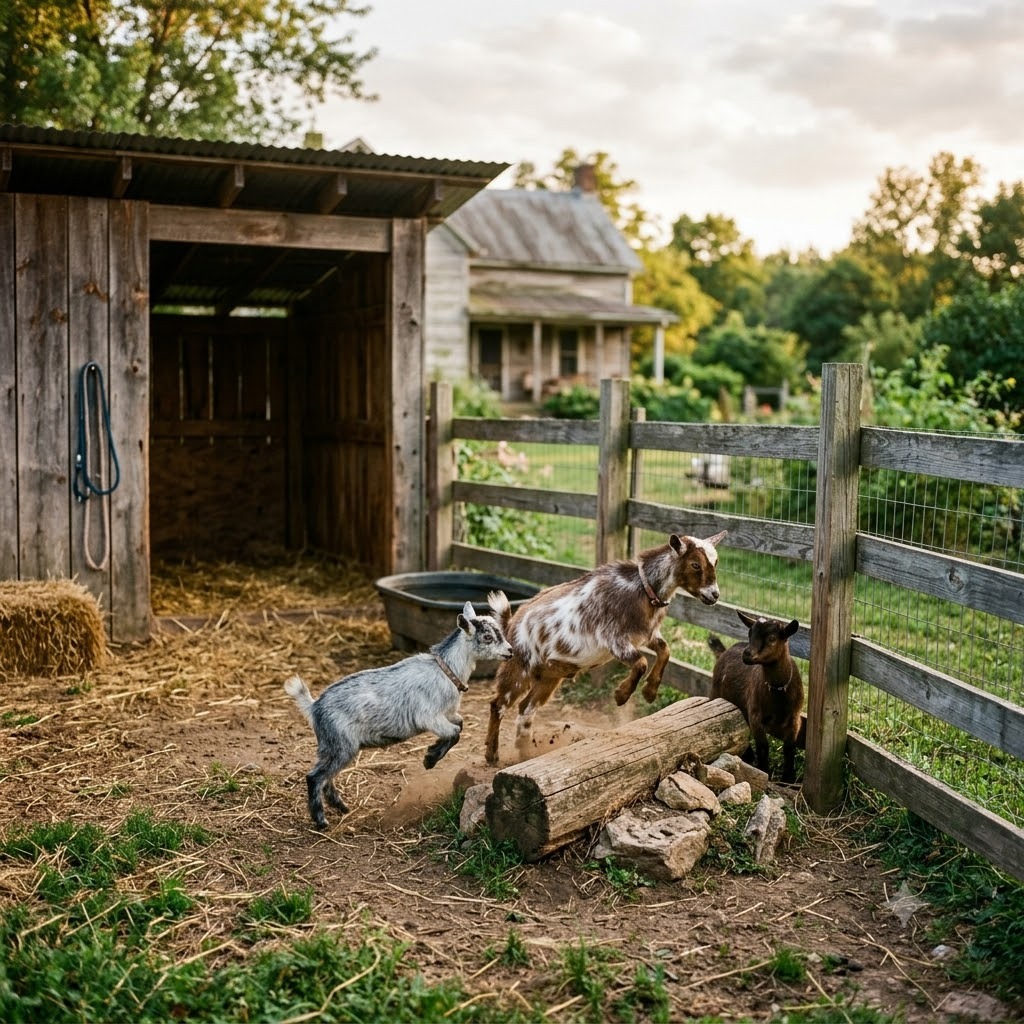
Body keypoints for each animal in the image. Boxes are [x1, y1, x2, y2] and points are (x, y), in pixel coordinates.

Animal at [285, 598, 513, 829]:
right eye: (487, 637)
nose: (510, 651)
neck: (446, 670)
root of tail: (314, 707)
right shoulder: (429, 717)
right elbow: (454, 732)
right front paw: (429, 759)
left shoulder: (448, 714)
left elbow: (461, 723)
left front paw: (431, 753)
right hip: (340, 745)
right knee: (315, 777)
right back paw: (321, 821)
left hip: (334, 748)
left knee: (326, 778)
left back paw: (341, 807)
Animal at [484, 531, 728, 765]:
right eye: (695, 564)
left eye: (716, 562)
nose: (714, 595)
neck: (641, 589)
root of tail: (511, 624)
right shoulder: (615, 640)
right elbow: (641, 663)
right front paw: (621, 696)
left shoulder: (647, 635)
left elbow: (665, 651)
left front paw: (649, 692)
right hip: (518, 668)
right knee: (498, 704)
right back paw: (492, 755)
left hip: (549, 676)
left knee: (526, 707)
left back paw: (524, 752)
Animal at [708, 609, 804, 783]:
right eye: (750, 633)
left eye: (772, 638)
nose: (747, 654)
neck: (778, 693)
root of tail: (727, 649)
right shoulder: (756, 716)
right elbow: (763, 746)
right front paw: (764, 771)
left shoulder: (795, 718)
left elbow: (789, 747)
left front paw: (788, 778)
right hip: (716, 694)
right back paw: (749, 756)